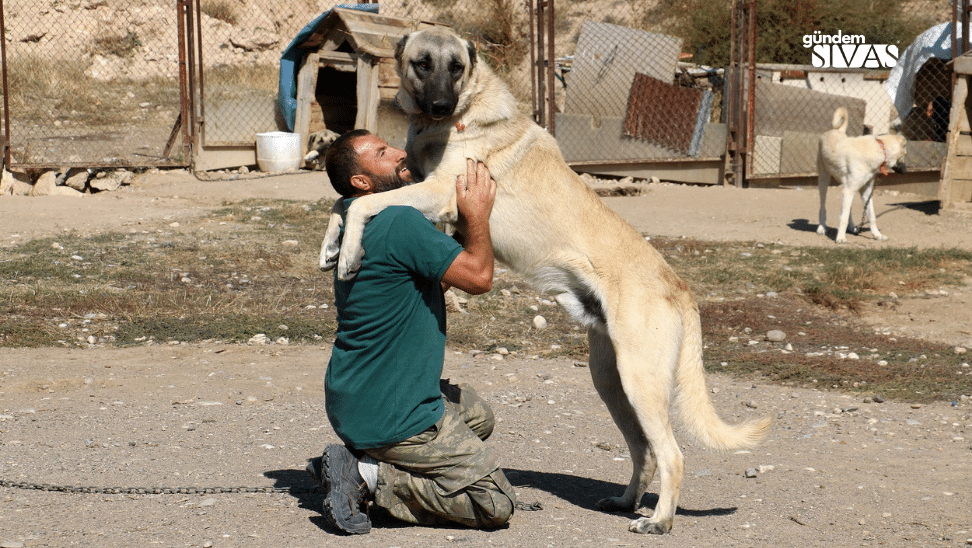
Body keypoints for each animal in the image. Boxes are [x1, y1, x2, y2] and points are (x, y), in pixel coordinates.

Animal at [320, 26, 776, 536]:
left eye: (456, 66)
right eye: (422, 63)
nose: (440, 105)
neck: (460, 114)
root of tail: (679, 286)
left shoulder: (437, 193)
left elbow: (362, 203)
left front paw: (349, 254)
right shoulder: (424, 193)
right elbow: (345, 204)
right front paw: (332, 246)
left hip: (641, 381)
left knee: (671, 455)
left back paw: (657, 521)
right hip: (612, 382)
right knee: (644, 452)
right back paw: (626, 501)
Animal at [816, 106, 908, 242]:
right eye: (905, 155)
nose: (906, 171)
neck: (880, 148)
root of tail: (835, 130)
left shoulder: (865, 192)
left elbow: (871, 216)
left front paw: (877, 235)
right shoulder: (849, 190)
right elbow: (843, 217)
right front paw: (840, 238)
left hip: (849, 190)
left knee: (848, 210)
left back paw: (852, 227)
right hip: (824, 180)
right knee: (823, 207)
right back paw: (822, 228)